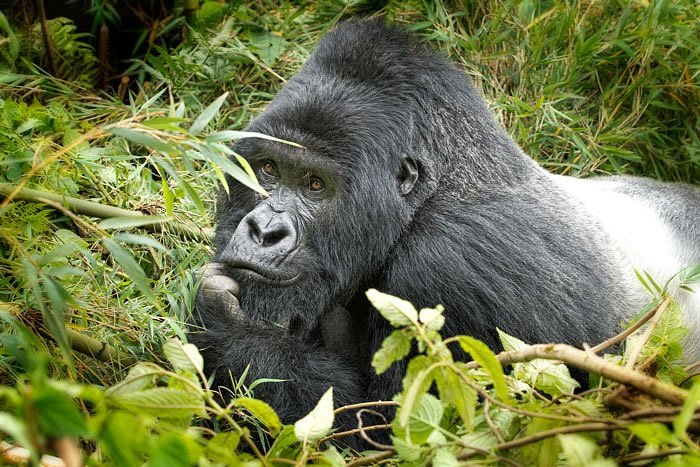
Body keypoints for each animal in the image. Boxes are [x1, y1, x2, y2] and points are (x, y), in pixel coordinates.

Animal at [187, 18, 700, 436]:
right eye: (268, 169)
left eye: (315, 185)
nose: (263, 232)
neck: (433, 192)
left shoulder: (451, 262)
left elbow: (394, 430)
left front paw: (224, 327)